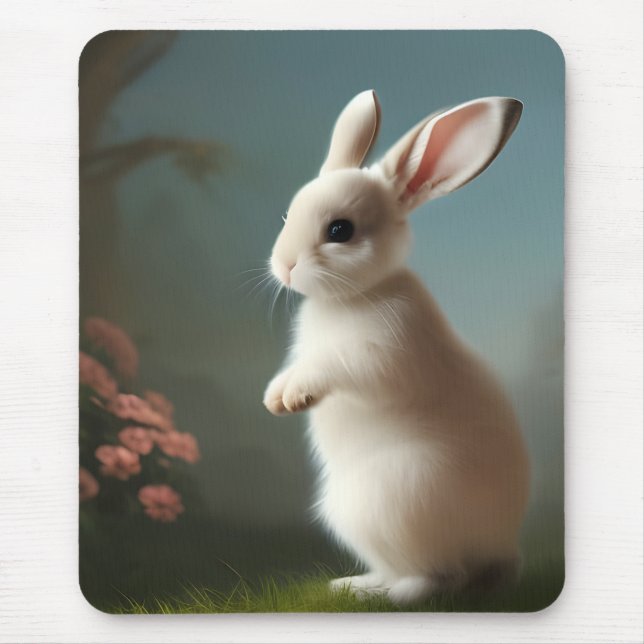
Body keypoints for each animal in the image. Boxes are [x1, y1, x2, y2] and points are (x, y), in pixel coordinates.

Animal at [263, 90, 530, 605]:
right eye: (287, 215)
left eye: (340, 231)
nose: (284, 265)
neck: (354, 295)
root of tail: (499, 550)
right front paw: (275, 397)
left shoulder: (387, 351)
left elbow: (339, 368)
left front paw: (295, 397)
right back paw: (353, 585)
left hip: (398, 498)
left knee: (444, 577)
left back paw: (391, 597)